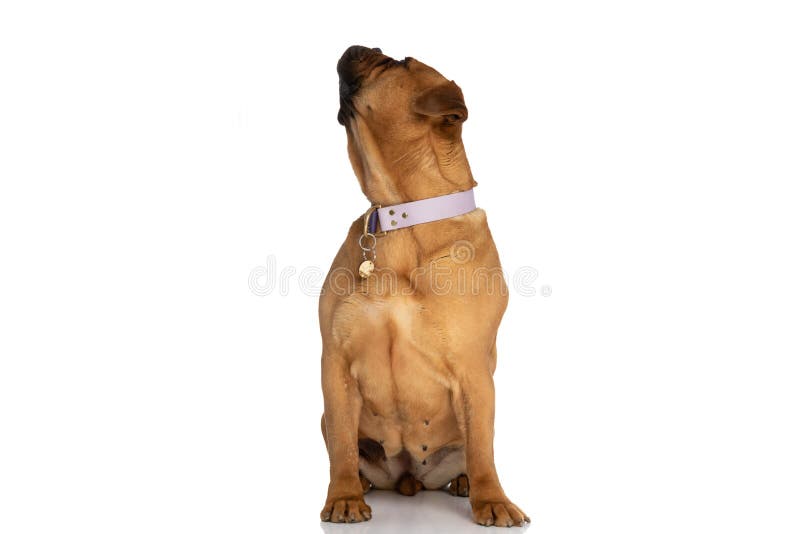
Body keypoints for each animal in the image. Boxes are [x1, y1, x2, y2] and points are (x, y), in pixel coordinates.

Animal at [318, 45, 532, 528]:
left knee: (474, 451)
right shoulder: (336, 361)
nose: (358, 46)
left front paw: (493, 500)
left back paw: (467, 483)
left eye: (393, 62)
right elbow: (342, 445)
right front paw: (344, 497)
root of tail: (408, 478)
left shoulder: (473, 372)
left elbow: (483, 449)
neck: (402, 217)